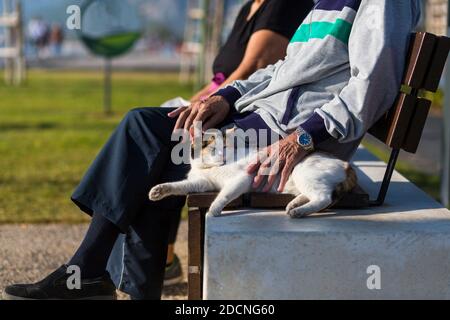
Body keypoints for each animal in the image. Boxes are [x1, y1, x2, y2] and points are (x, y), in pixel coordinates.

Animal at [149, 129, 356, 218]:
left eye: (226, 147)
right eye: (214, 149)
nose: (222, 155)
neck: (208, 169)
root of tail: (346, 164)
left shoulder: (243, 179)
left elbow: (224, 195)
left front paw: (214, 209)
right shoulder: (202, 183)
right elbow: (178, 186)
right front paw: (158, 191)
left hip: (303, 173)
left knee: (323, 198)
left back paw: (298, 212)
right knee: (312, 196)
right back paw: (294, 205)